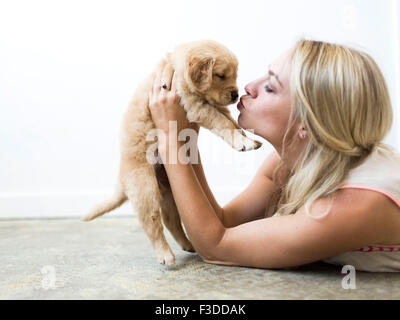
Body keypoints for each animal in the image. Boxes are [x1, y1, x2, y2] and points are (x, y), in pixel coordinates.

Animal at [82, 39, 262, 264]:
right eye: (221, 75)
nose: (236, 95)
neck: (177, 70)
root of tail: (121, 180)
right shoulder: (197, 107)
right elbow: (224, 123)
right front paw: (242, 142)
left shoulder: (211, 104)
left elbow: (231, 121)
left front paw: (249, 138)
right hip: (145, 188)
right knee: (152, 222)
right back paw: (164, 254)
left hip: (169, 192)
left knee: (171, 220)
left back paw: (187, 244)